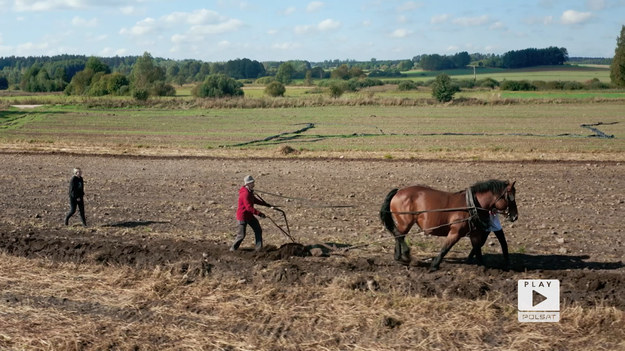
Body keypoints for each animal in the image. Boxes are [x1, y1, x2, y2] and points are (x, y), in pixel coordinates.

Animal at [380, 180, 516, 270]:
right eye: (511, 197)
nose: (515, 216)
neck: (471, 205)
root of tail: (399, 191)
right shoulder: (455, 232)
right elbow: (445, 248)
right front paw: (434, 265)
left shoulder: (474, 234)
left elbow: (477, 249)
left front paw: (481, 266)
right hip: (405, 221)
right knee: (398, 235)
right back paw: (407, 255)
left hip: (404, 223)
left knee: (398, 235)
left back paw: (399, 257)